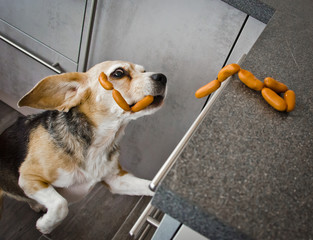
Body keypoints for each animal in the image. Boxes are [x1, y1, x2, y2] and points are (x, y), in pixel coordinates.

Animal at [0, 60, 166, 234]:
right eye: (118, 73)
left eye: (144, 71)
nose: (162, 77)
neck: (98, 144)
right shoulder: (29, 177)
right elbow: (61, 205)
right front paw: (45, 225)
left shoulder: (116, 180)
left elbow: (147, 187)